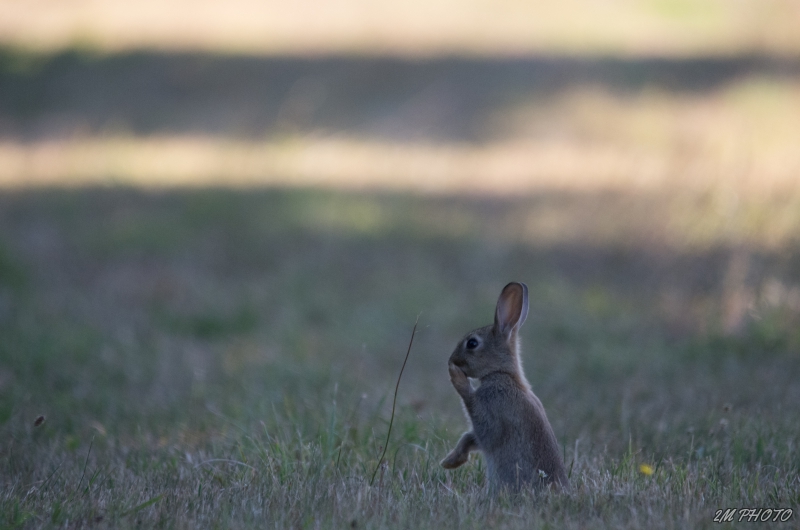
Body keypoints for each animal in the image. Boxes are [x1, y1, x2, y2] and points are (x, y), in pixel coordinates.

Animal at [438, 280, 568, 490]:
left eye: (472, 343)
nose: (452, 360)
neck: (503, 375)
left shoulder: (491, 413)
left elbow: (481, 427)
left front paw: (456, 376)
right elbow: (469, 437)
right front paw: (450, 462)